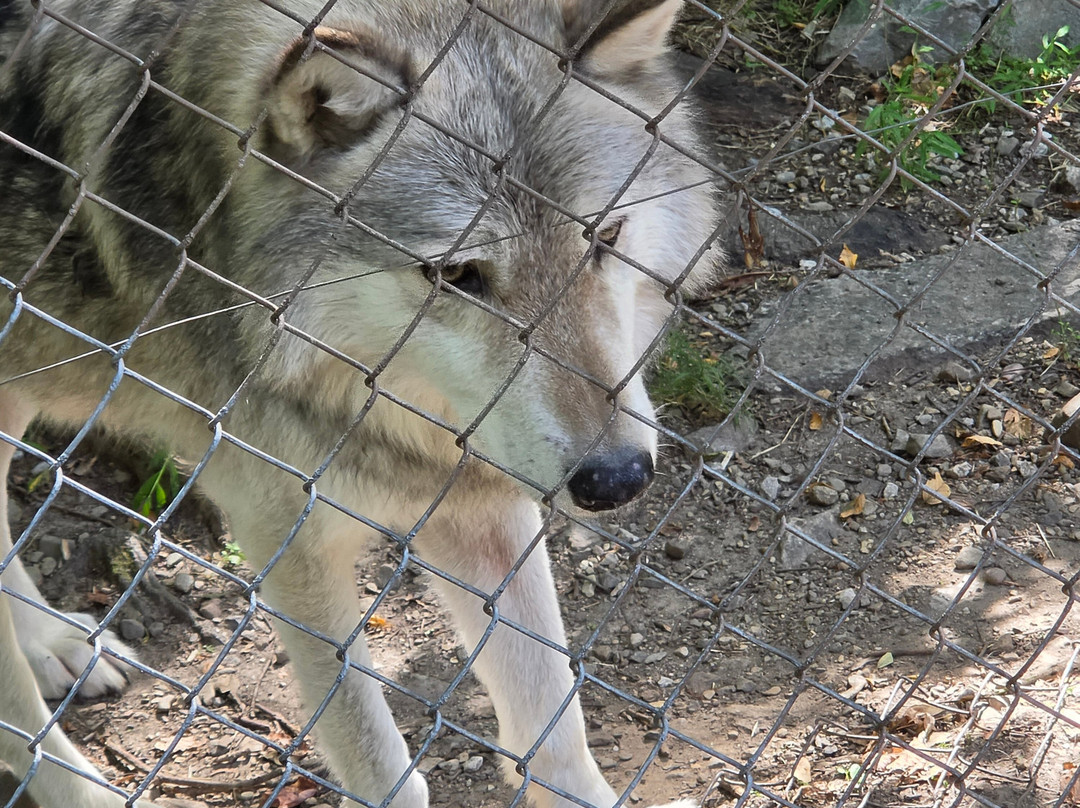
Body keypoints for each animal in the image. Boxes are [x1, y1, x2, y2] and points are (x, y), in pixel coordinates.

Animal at [0, 0, 721, 806]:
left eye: (606, 236)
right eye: (457, 274)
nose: (618, 479)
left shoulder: (473, 498)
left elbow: (554, 728)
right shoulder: (288, 543)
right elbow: (381, 767)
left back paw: (55, 644)